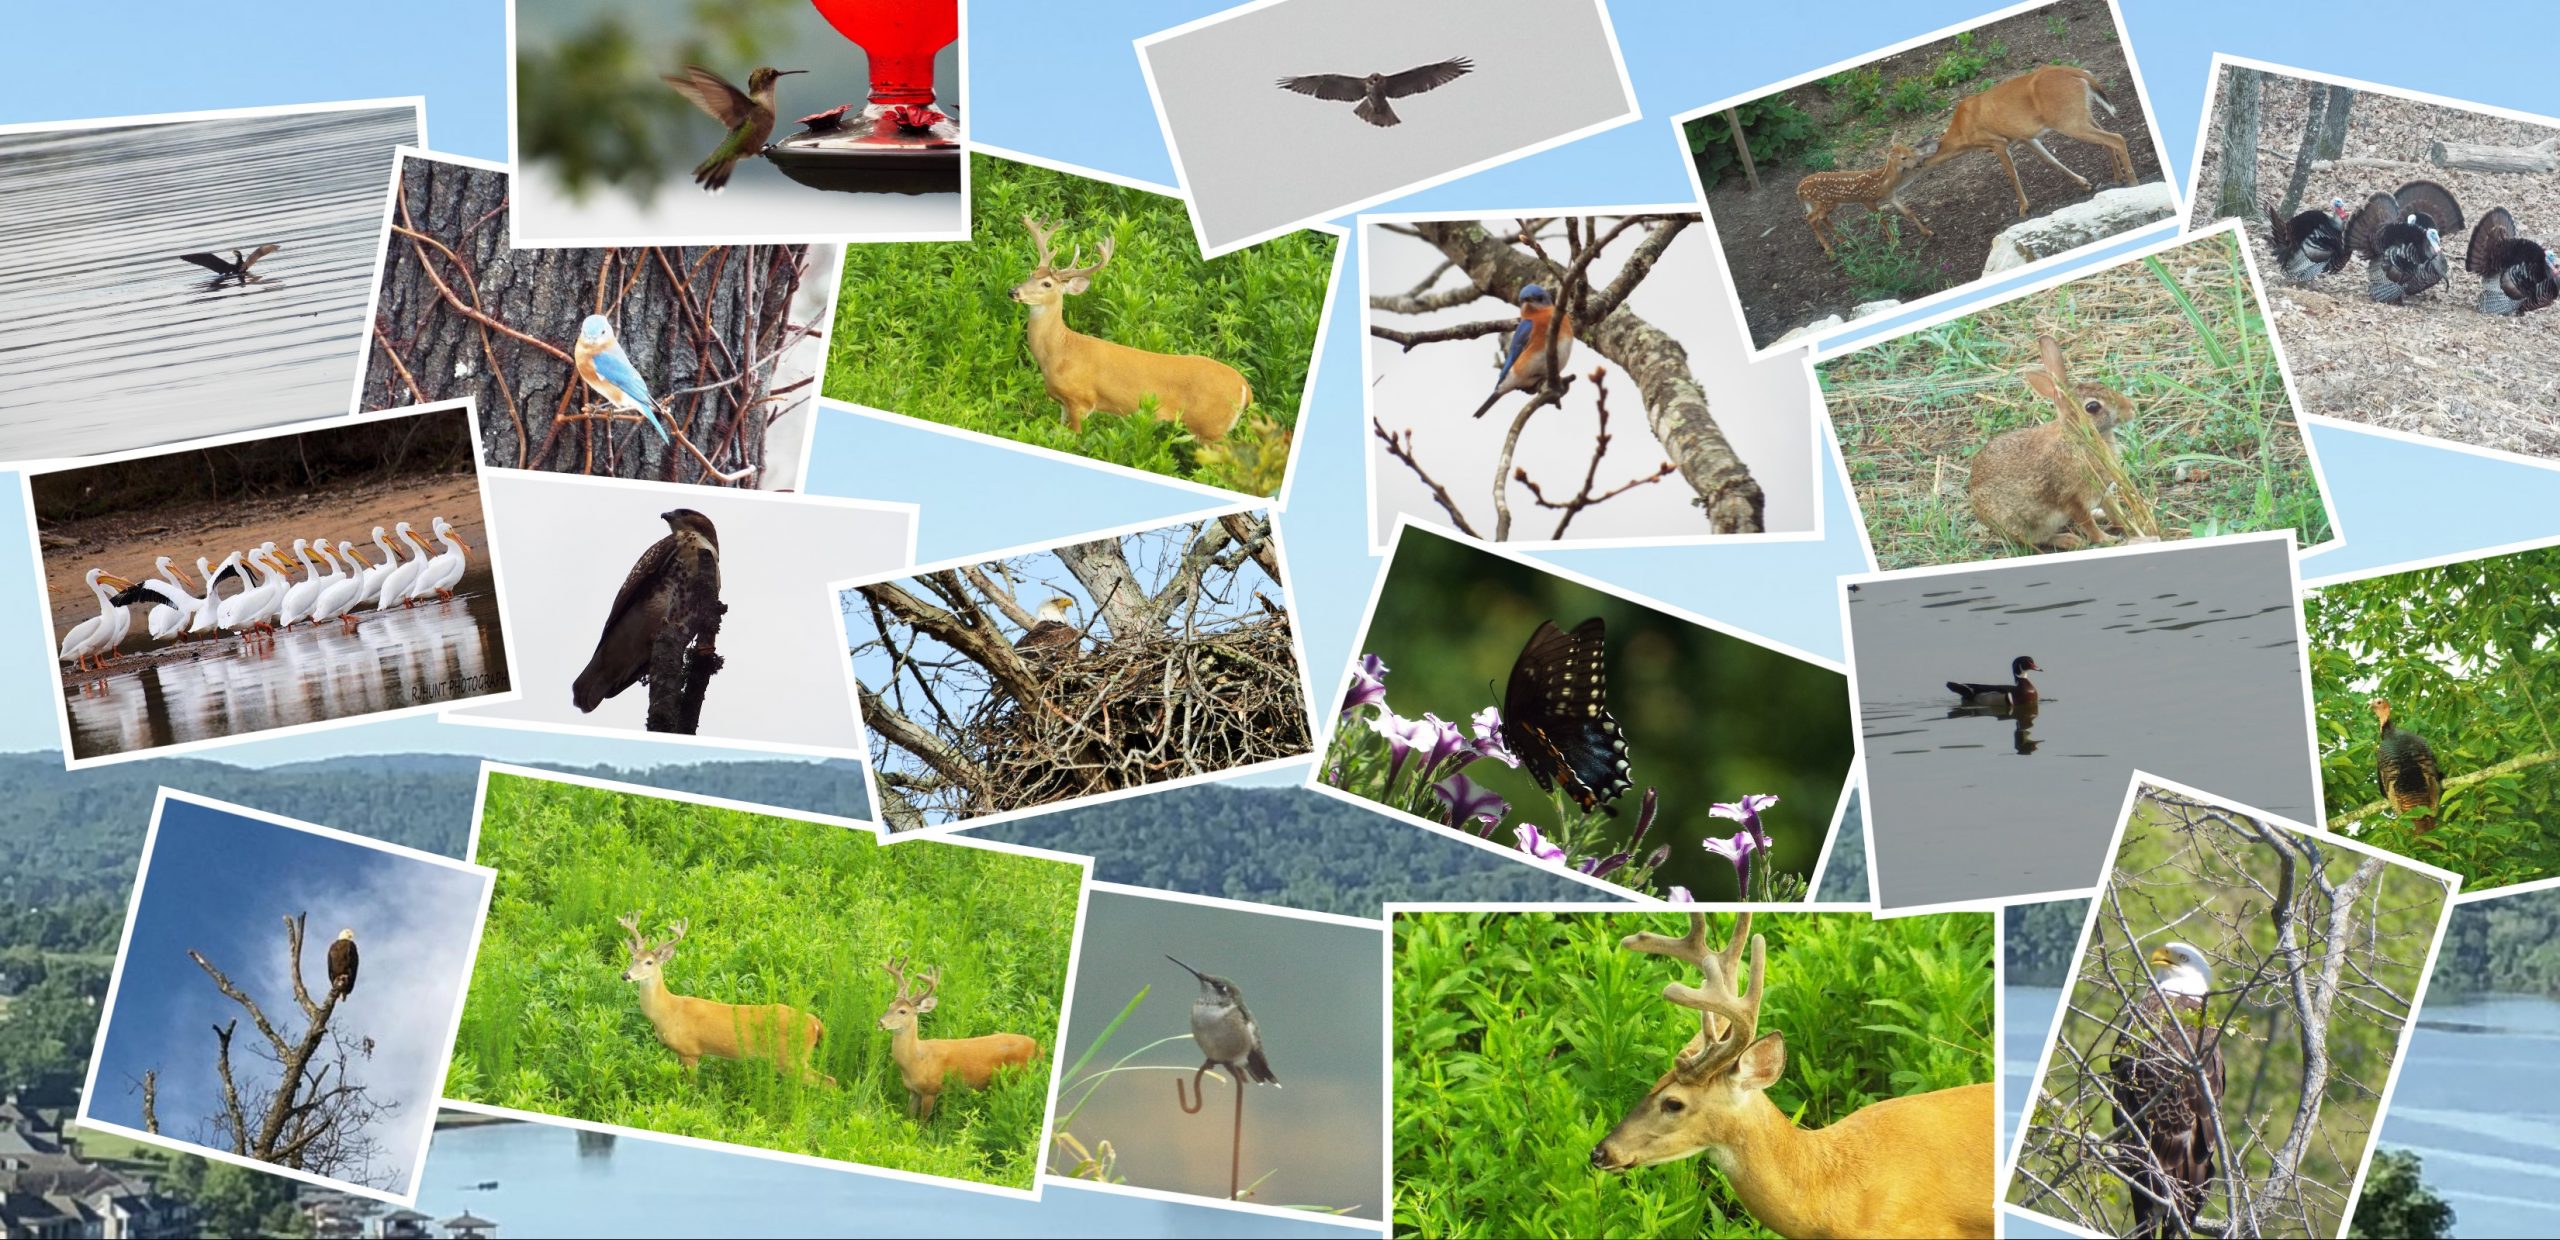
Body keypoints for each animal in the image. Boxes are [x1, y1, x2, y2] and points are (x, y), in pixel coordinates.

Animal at [614, 917, 1034, 1117]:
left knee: (829, 1081)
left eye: (649, 962)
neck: (668, 1011)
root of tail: (817, 1023)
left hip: (792, 1058)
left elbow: (691, 1089)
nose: (625, 976)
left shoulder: (690, 1052)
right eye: (632, 957)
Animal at [1802, 64, 2140, 256]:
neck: (1963, 133)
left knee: (2116, 137)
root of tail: (2080, 73)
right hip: (2079, 113)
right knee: (2107, 137)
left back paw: (2133, 181)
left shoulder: (1996, 142)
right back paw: (2117, 178)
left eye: (1909, 159)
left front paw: (2023, 208)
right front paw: (2084, 184)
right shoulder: (2023, 136)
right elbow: (2050, 161)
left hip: (2068, 119)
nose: (1887, 186)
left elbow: (2012, 175)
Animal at [1966, 338, 2129, 553]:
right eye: (2092, 407)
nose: (2131, 408)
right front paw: (2108, 540)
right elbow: (2087, 524)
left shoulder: (2103, 492)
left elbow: (2113, 511)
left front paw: (2126, 524)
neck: (2077, 440)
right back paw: (2070, 540)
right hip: (2024, 524)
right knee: (2038, 539)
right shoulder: (2072, 499)